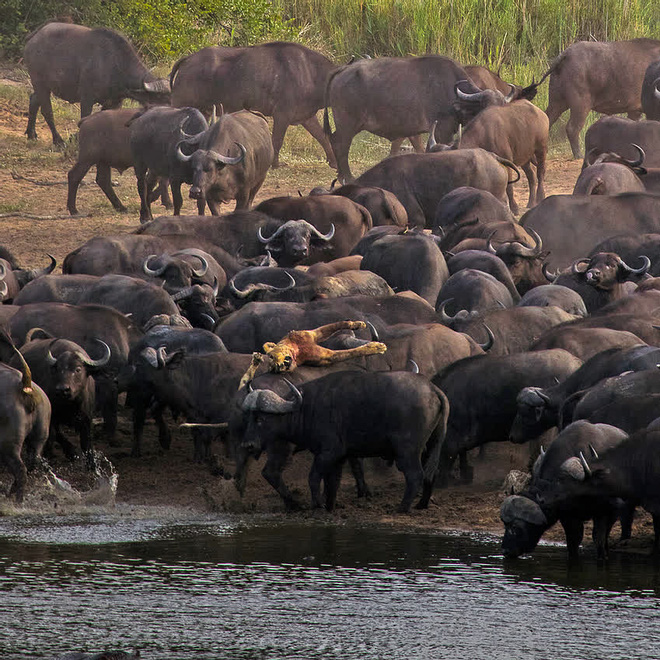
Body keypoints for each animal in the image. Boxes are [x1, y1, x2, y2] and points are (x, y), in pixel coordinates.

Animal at [24, 23, 170, 148]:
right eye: (162, 101)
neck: (114, 64)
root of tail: (34, 37)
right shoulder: (87, 98)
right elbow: (84, 118)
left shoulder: (115, 102)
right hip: (40, 84)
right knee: (47, 111)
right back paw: (58, 141)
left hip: (43, 87)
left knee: (34, 100)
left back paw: (31, 134)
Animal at [170, 42, 336, 168]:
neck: (311, 73)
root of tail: (189, 59)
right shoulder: (282, 115)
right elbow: (277, 140)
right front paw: (275, 164)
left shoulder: (306, 117)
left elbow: (322, 136)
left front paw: (332, 161)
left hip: (204, 111)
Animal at [528, 39, 660, 157]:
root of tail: (566, 55)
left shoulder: (634, 111)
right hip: (580, 105)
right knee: (572, 128)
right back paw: (579, 155)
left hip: (557, 102)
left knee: (547, 120)